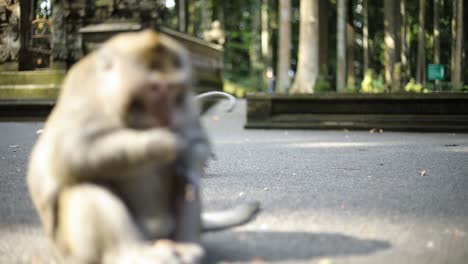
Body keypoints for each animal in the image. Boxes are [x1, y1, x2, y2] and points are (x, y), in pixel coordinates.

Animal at [27, 29, 260, 262]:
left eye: (173, 89)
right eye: (154, 88)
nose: (165, 113)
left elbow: (195, 143)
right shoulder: (84, 96)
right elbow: (71, 152)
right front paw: (166, 143)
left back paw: (185, 247)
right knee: (86, 183)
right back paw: (134, 253)